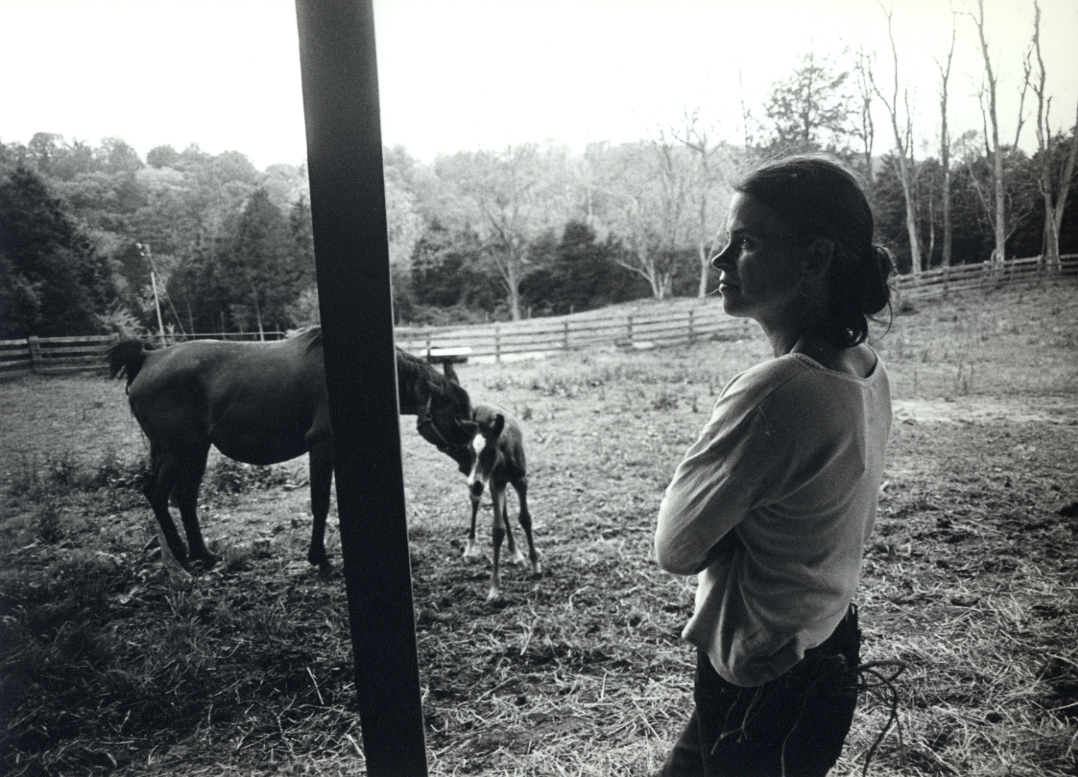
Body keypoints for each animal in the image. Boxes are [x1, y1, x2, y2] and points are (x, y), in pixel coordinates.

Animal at [106, 323, 476, 573]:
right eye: (460, 421)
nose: (471, 463)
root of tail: (147, 357)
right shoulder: (322, 446)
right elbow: (321, 503)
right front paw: (320, 558)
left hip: (193, 451)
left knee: (184, 498)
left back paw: (202, 554)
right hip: (177, 451)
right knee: (156, 493)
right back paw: (182, 556)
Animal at [441, 403, 539, 603]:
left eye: (491, 451)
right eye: (470, 451)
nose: (473, 483)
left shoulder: (520, 480)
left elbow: (525, 519)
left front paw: (535, 565)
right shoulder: (495, 482)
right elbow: (497, 530)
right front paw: (494, 588)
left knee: (504, 510)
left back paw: (516, 554)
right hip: (486, 481)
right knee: (476, 501)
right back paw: (470, 549)